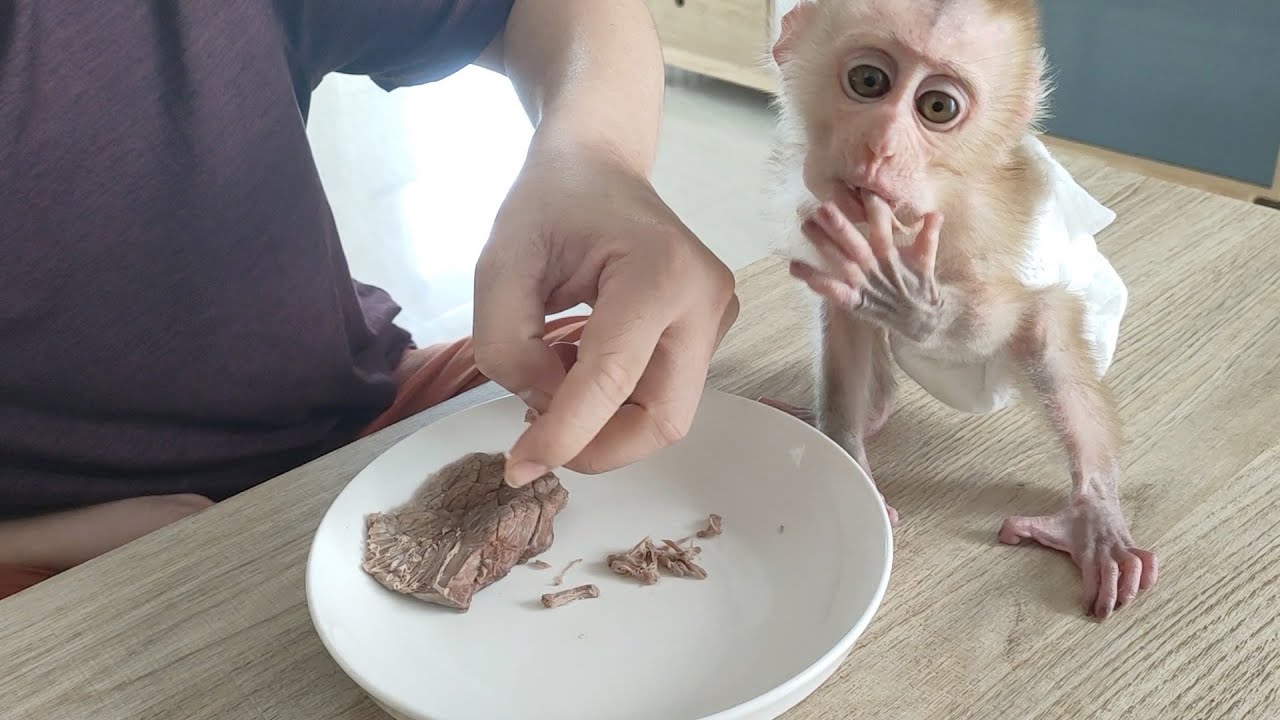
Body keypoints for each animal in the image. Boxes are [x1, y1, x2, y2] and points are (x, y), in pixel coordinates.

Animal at [759, 0, 1157, 620]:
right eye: (868, 81)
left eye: (937, 108)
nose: (881, 147)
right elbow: (844, 315)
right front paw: (846, 452)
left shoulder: (975, 222)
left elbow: (996, 319)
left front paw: (912, 301)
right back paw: (865, 414)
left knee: (1044, 330)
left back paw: (1093, 514)